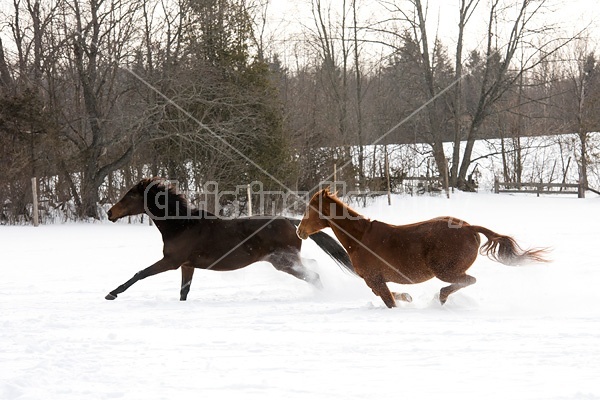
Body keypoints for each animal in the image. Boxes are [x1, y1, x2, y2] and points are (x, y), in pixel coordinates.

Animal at [105, 178, 354, 300]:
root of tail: (289, 221)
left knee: (313, 275)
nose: (109, 213)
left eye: (129, 196)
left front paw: (112, 293)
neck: (182, 225)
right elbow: (184, 291)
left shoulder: (172, 261)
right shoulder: (187, 265)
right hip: (286, 260)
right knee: (313, 267)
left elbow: (140, 273)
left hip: (283, 261)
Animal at [296, 189, 548, 308]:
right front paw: (407, 297)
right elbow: (389, 295)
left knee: (468, 280)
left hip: (445, 270)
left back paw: (441, 297)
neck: (360, 238)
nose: (299, 231)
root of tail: (469, 228)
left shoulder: (374, 278)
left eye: (309, 209)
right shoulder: (375, 280)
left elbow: (388, 300)